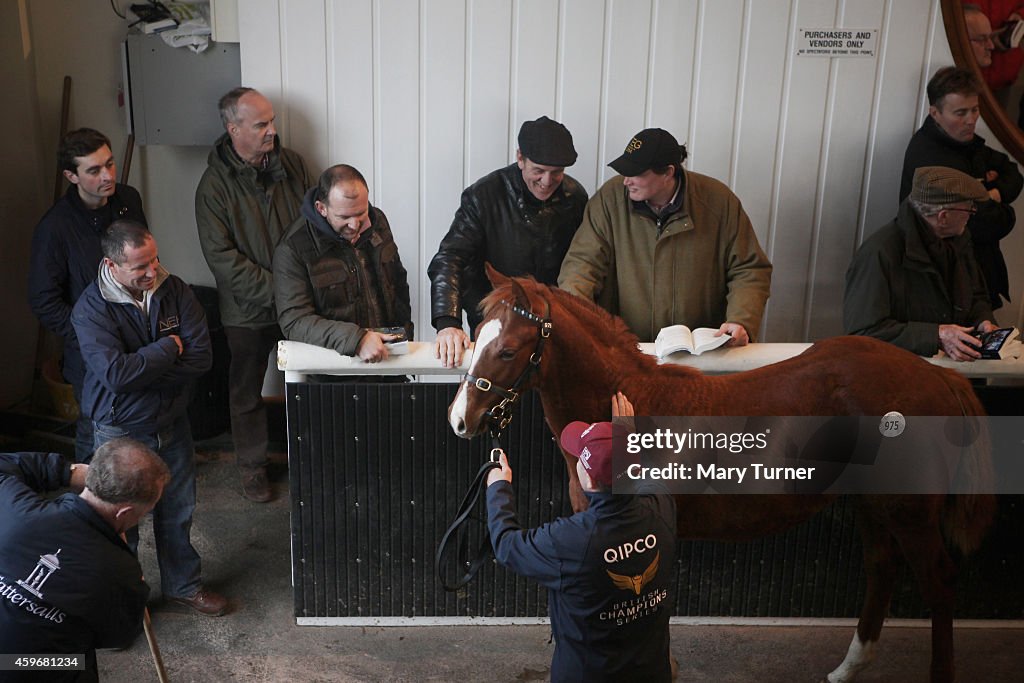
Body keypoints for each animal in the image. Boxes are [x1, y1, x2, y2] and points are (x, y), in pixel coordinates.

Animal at [446, 268, 991, 683]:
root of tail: (938, 375)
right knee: (882, 570)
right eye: (477, 337)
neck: (634, 405)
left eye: (508, 350)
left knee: (938, 581)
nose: (460, 419)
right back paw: (847, 669)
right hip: (873, 506)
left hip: (909, 513)